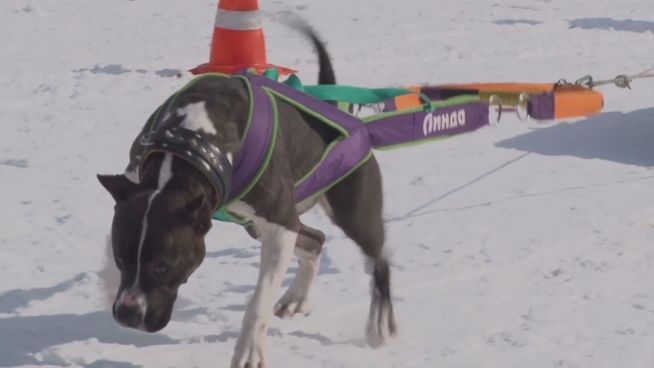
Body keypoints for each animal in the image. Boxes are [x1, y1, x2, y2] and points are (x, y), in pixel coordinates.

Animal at [96, 26, 394, 368]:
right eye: (122, 258)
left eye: (162, 267)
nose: (127, 313)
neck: (190, 144)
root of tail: (335, 106)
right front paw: (109, 286)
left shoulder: (279, 227)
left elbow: (258, 302)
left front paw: (249, 351)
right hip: (264, 224)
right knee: (316, 239)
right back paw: (297, 299)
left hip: (351, 210)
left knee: (379, 256)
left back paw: (379, 325)